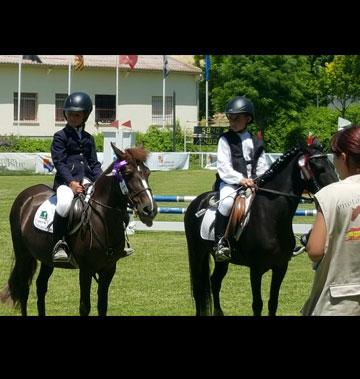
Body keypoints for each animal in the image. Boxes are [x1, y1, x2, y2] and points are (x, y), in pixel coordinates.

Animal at [0, 144, 158, 316]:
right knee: (24, 290)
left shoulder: (109, 269)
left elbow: (102, 305)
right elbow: (84, 307)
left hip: (47, 258)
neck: (102, 218)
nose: (149, 209)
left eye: (147, 172)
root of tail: (26, 196)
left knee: (41, 286)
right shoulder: (86, 270)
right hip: (23, 254)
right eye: (128, 173)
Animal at [184, 141, 338, 316]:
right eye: (318, 167)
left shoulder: (280, 267)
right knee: (199, 288)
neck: (272, 217)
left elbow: (273, 303)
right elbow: (257, 304)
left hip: (222, 260)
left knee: (214, 282)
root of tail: (197, 201)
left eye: (332, 165)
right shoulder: (256, 270)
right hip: (197, 253)